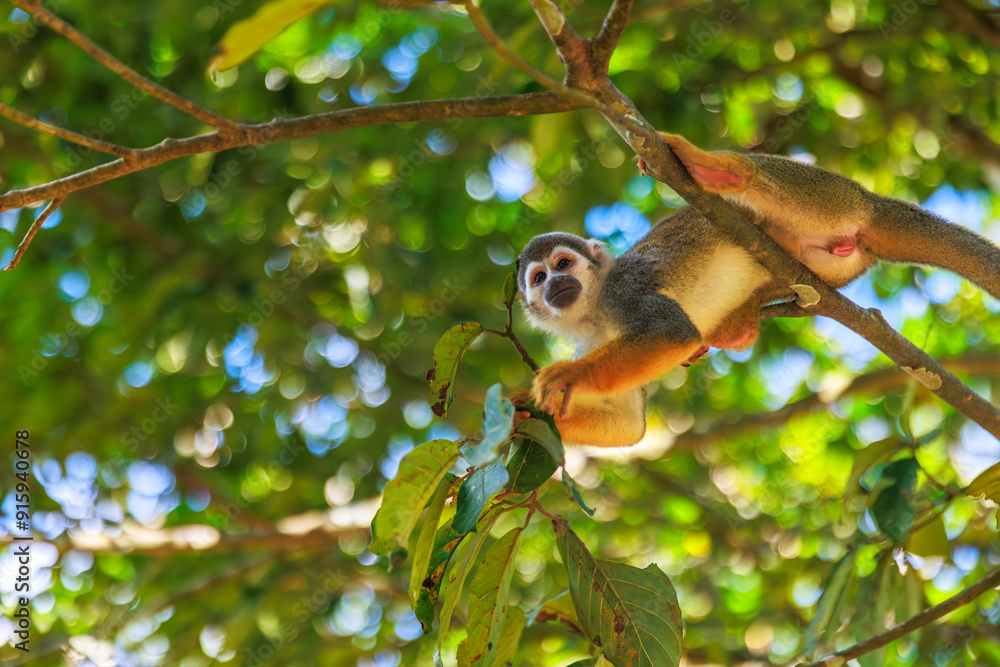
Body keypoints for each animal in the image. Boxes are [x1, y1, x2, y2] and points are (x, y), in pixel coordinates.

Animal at [516, 134, 1000, 448]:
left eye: (563, 265)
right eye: (539, 279)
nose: (556, 284)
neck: (595, 309)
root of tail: (869, 203)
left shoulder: (624, 290)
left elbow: (671, 333)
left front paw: (567, 377)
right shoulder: (590, 339)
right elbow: (627, 426)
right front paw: (522, 412)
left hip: (832, 200)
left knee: (762, 187)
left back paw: (720, 172)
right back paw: (736, 329)